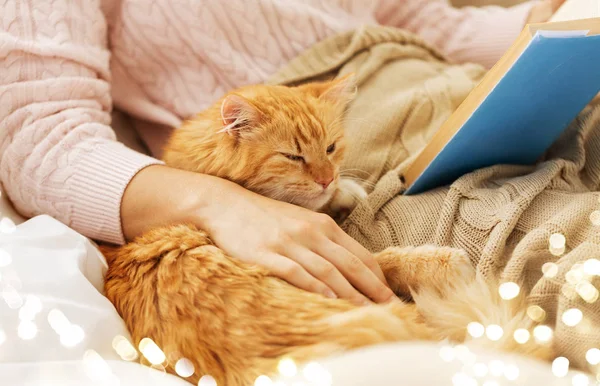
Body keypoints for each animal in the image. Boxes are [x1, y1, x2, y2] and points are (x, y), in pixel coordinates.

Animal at [99, 76, 552, 386]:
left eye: (331, 149)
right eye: (293, 157)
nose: (325, 178)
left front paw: (343, 191)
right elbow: (383, 259)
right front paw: (444, 260)